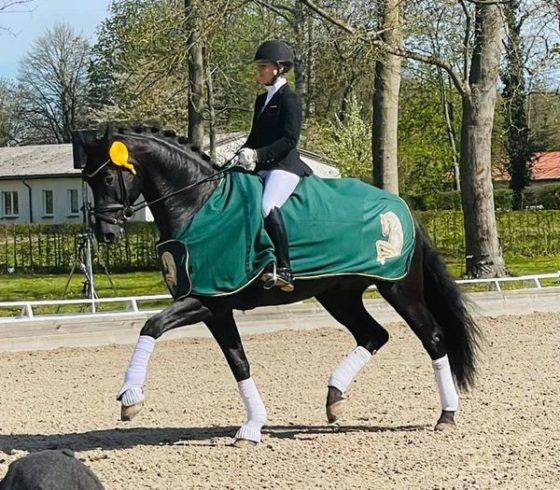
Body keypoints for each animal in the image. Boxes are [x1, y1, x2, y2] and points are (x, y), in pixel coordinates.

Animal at [73, 126, 482, 448]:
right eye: (87, 181)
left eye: (107, 178)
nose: (106, 234)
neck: (198, 205)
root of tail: (402, 206)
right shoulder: (216, 307)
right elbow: (238, 362)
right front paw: (252, 427)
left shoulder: (205, 299)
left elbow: (151, 325)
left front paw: (130, 398)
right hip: (338, 294)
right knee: (374, 334)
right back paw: (334, 397)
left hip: (399, 288)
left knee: (433, 338)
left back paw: (446, 415)